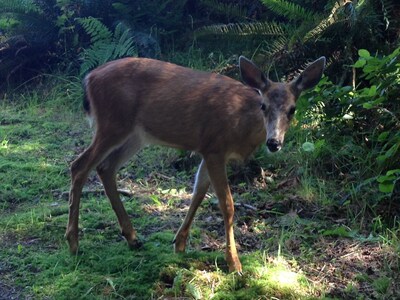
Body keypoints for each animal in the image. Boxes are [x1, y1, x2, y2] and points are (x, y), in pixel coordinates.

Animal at [65, 54, 324, 272]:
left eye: (292, 109)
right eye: (264, 106)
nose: (274, 142)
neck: (241, 121)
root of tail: (89, 78)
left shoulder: (207, 150)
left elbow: (197, 193)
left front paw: (179, 244)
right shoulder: (215, 148)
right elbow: (227, 205)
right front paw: (234, 263)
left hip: (136, 135)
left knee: (105, 167)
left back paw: (133, 238)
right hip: (112, 123)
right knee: (79, 166)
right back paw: (74, 243)